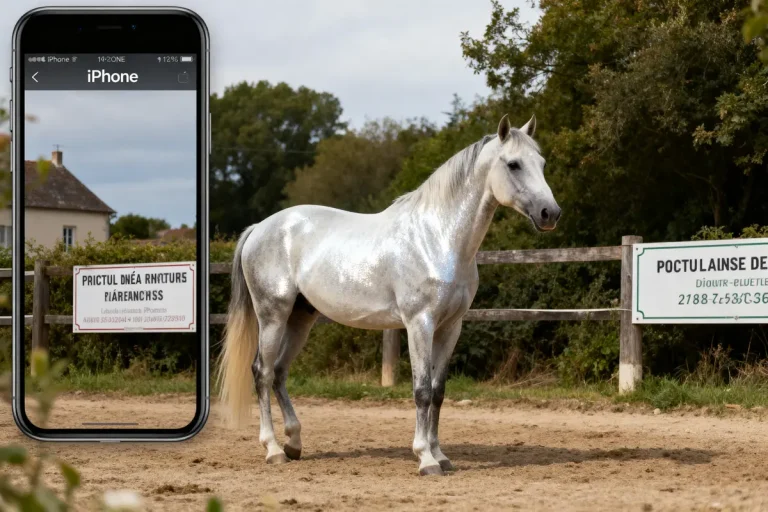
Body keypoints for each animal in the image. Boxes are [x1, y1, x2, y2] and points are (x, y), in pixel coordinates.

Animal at [217, 113, 561, 476]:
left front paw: (441, 455)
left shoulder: (450, 327)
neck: (437, 237)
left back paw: (294, 444)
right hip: (272, 316)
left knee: (280, 372)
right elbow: (421, 390)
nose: (550, 213)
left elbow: (438, 391)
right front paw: (425, 459)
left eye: (541, 162)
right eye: (513, 164)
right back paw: (273, 450)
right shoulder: (419, 324)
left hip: (300, 318)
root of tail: (259, 227)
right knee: (263, 372)